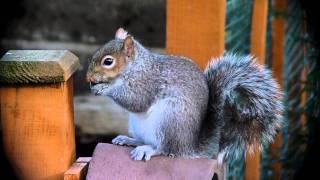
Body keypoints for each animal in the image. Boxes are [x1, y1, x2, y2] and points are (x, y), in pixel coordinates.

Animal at [86, 27, 284, 162]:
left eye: (108, 61)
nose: (88, 77)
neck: (136, 66)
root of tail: (189, 147)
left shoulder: (147, 83)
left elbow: (136, 100)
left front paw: (105, 88)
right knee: (145, 140)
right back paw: (129, 140)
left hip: (169, 119)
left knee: (165, 149)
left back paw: (148, 150)